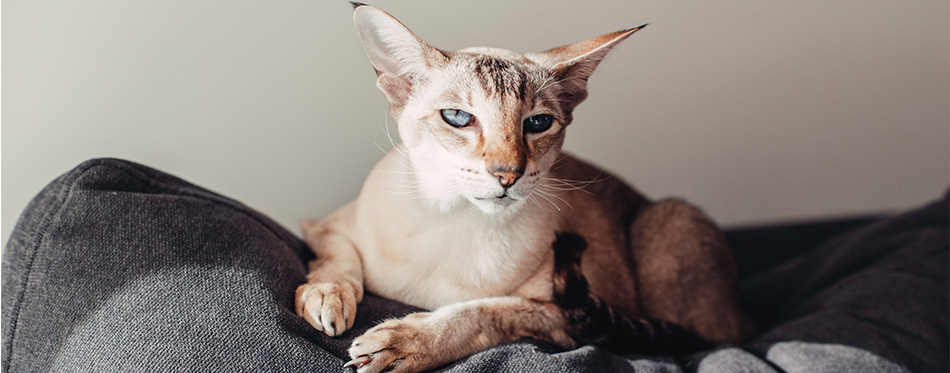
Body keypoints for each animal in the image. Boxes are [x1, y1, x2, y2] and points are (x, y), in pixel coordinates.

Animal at [294, 3, 756, 372]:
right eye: (457, 118)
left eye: (538, 123)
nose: (507, 174)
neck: (457, 217)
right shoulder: (322, 225)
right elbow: (336, 261)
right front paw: (326, 298)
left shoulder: (568, 317)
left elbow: (481, 313)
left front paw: (407, 342)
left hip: (673, 219)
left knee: (707, 338)